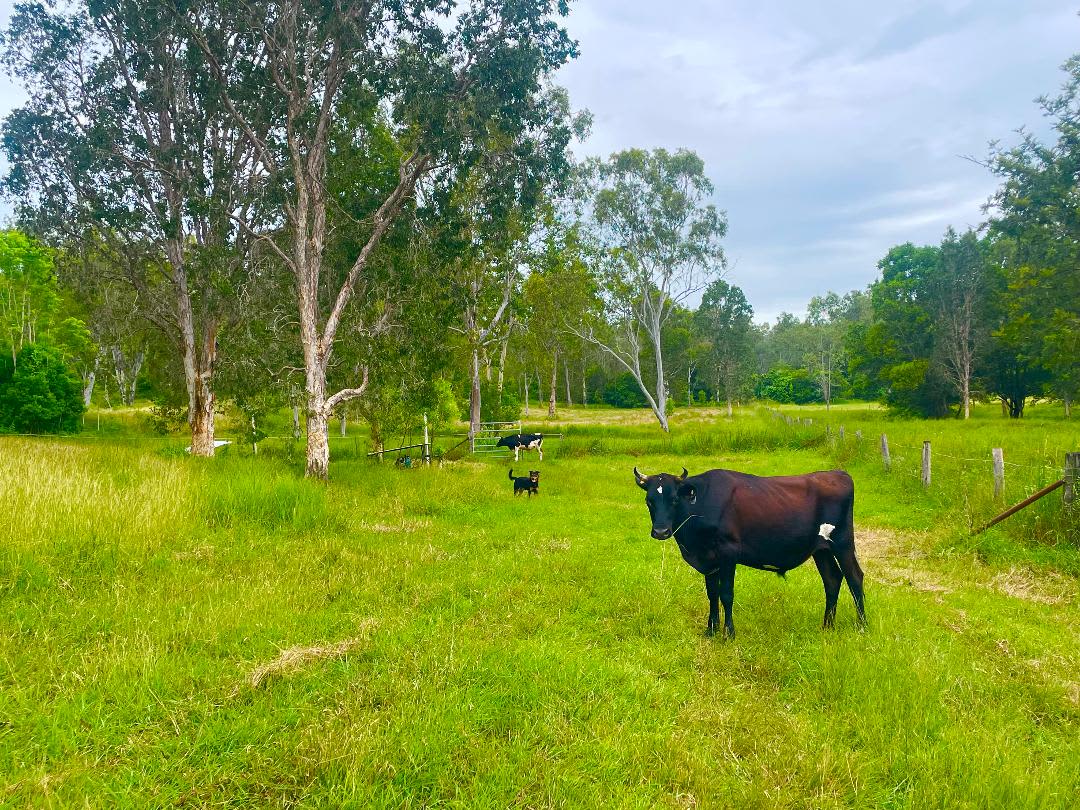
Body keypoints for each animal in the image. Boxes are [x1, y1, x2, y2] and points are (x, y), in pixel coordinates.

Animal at [635, 466, 864, 639]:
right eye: (649, 501)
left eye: (674, 499)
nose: (660, 531)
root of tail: (838, 473)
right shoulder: (709, 560)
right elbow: (712, 593)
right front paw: (711, 630)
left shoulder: (728, 553)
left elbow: (726, 594)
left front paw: (728, 634)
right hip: (821, 549)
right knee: (832, 579)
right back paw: (827, 627)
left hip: (843, 543)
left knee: (854, 578)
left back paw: (861, 626)